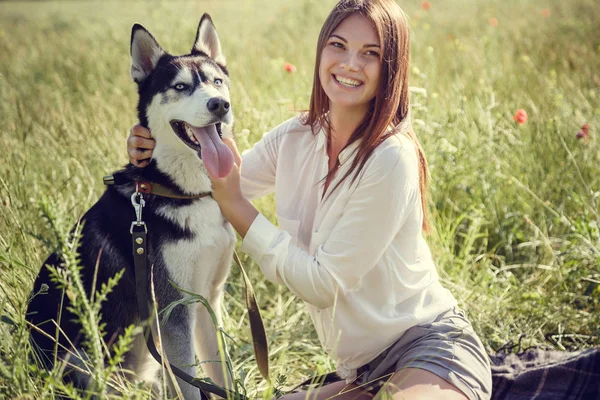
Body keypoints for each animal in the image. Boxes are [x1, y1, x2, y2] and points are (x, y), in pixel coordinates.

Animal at [25, 14, 237, 398]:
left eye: (217, 82)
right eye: (180, 87)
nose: (219, 105)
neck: (179, 191)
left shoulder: (207, 299)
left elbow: (220, 372)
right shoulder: (173, 310)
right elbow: (190, 385)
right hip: (83, 361)